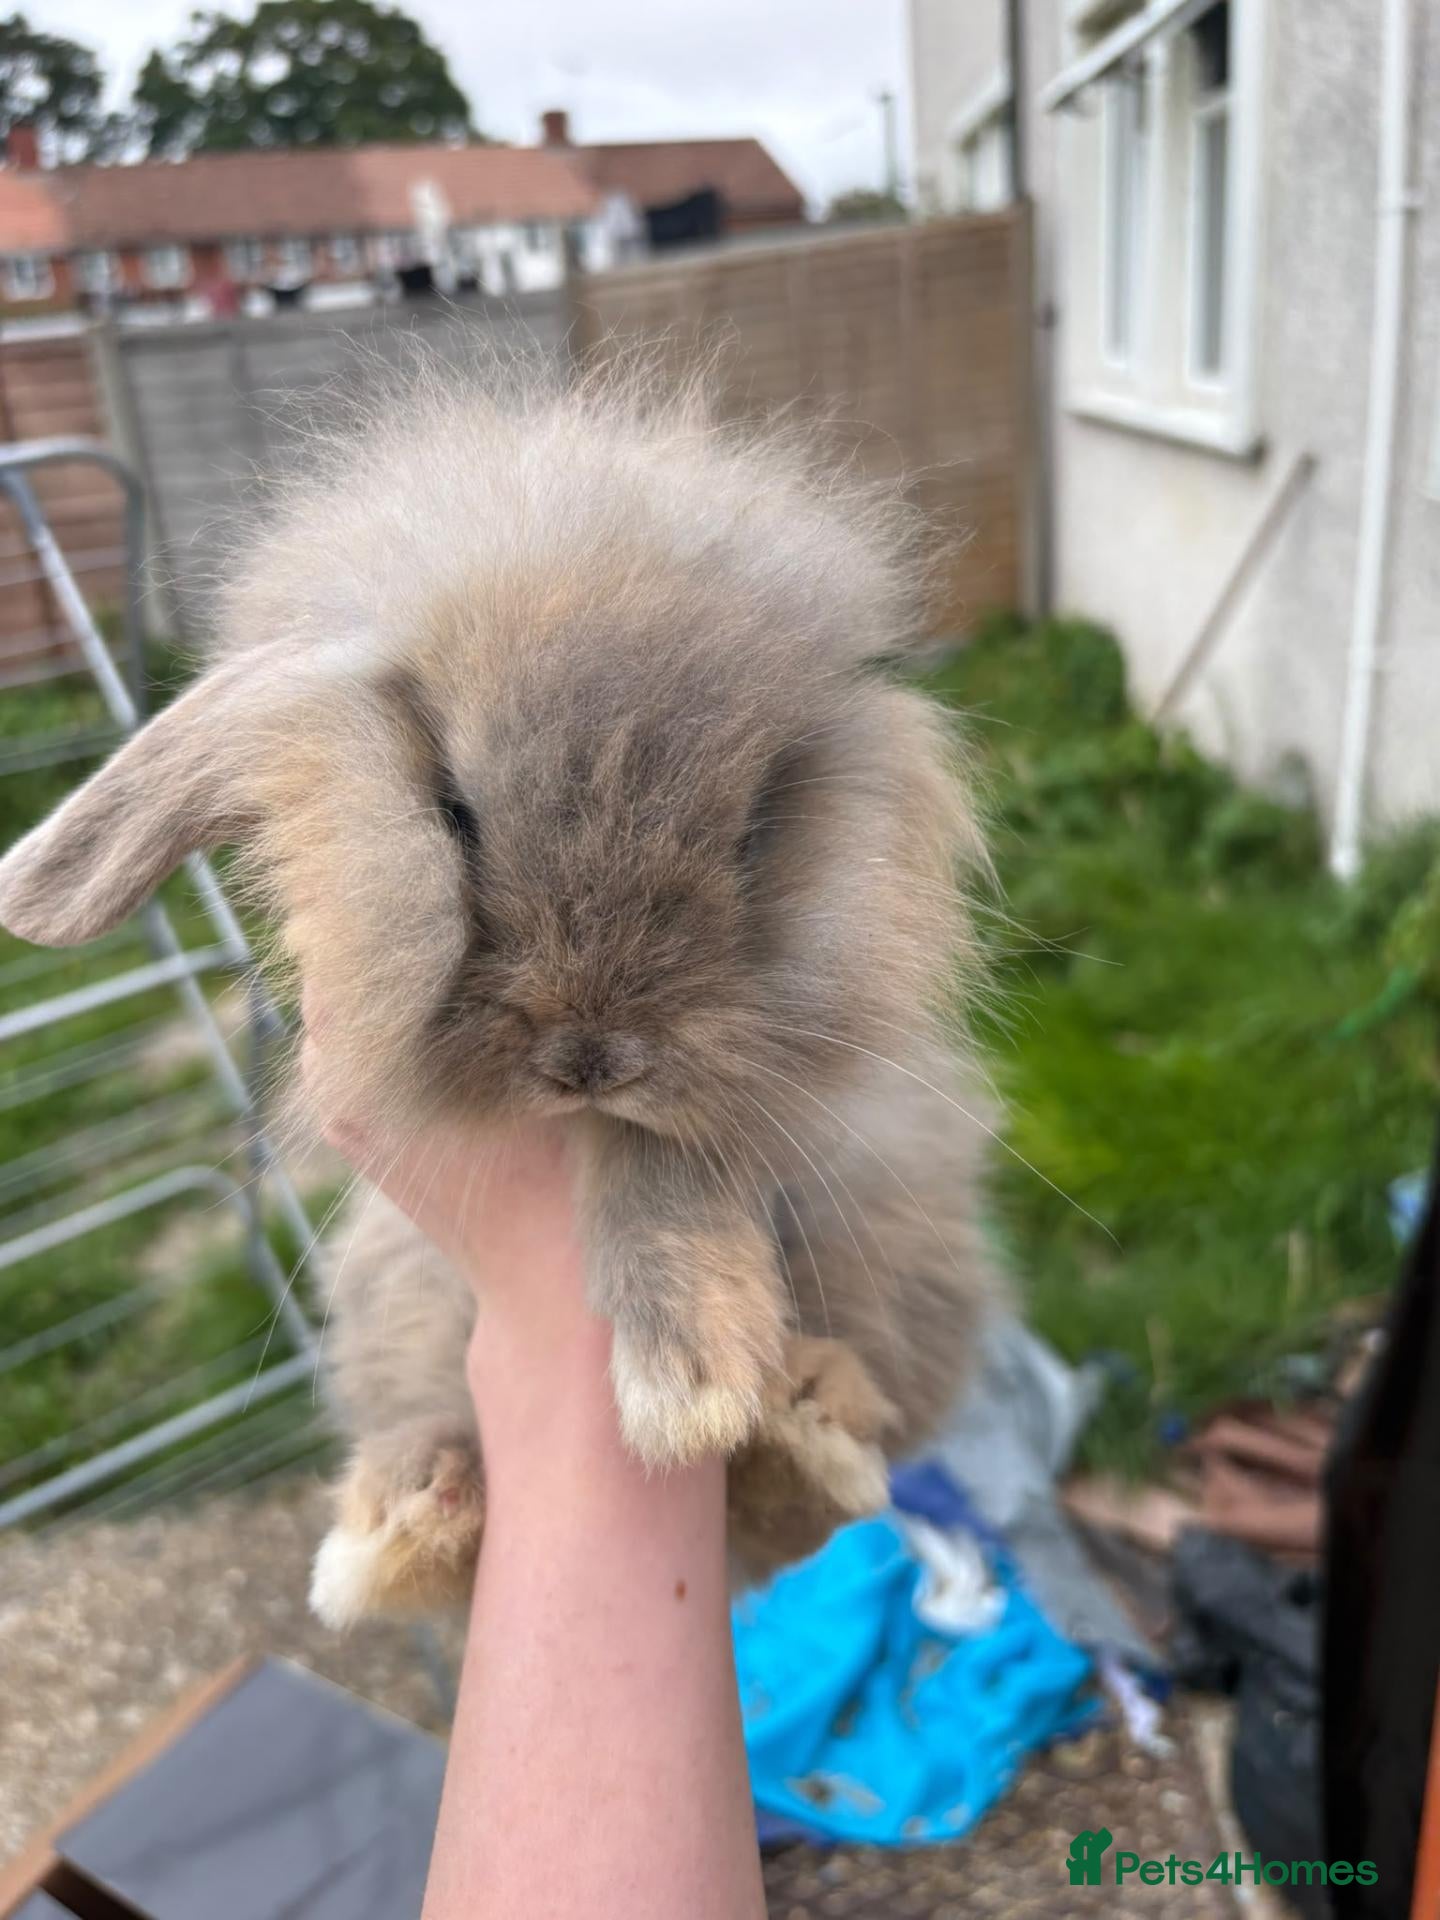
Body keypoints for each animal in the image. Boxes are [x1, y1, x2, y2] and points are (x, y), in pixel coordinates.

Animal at [0, 349, 1000, 1627]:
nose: (589, 1056)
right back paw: (399, 1521)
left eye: (750, 836)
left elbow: (660, 1160)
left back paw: (803, 1416)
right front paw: (696, 1381)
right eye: (456, 815)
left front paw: (691, 1384)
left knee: (804, 1494)